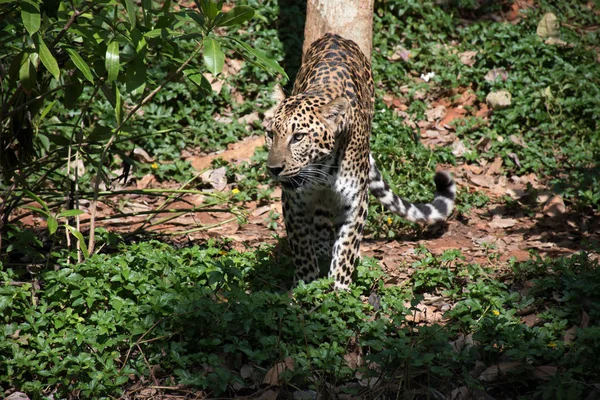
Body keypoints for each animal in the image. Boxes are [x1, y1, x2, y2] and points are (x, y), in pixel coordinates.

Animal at [264, 32, 458, 290]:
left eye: (298, 137)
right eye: (270, 134)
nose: (274, 169)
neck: (322, 172)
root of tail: (334, 36)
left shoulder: (356, 204)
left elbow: (345, 251)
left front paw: (339, 290)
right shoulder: (294, 204)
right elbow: (302, 249)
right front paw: (307, 286)